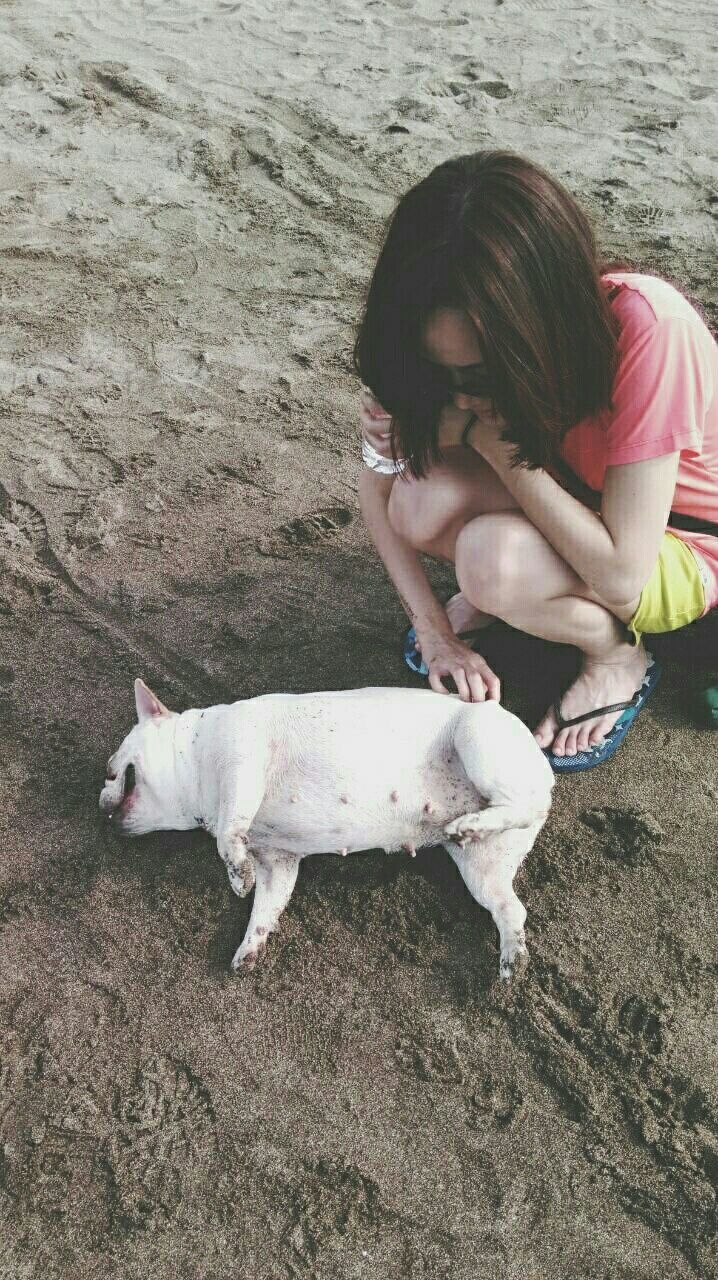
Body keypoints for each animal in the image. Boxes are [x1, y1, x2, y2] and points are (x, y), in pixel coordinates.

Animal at [97, 680, 550, 977]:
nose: (99, 795)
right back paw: (513, 959)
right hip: (483, 866)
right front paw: (248, 951)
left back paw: (472, 822)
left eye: (114, 766)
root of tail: (544, 768)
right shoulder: (277, 861)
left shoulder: (242, 761)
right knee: (510, 905)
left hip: (476, 738)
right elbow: (268, 905)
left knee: (520, 804)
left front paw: (238, 877)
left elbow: (229, 831)